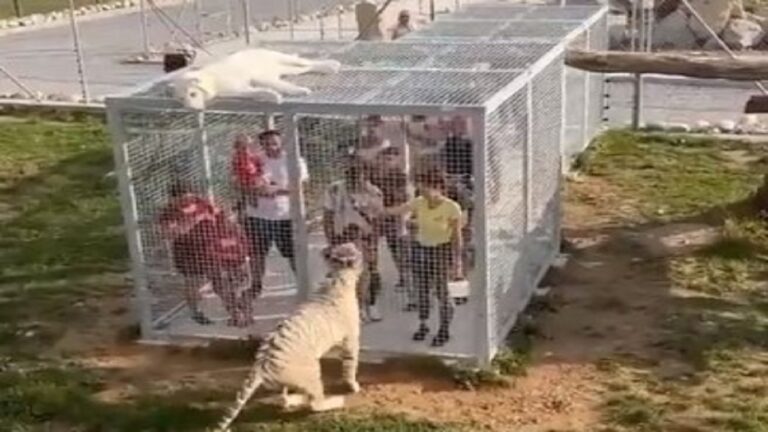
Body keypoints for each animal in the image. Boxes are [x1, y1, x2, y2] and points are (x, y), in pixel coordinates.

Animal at [172, 47, 344, 109]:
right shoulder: (240, 90)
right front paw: (273, 96)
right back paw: (328, 68)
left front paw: (298, 91)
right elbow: (257, 91)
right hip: (288, 70)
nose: (190, 109)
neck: (213, 81)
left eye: (193, 94)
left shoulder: (255, 77)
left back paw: (331, 65)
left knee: (308, 62)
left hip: (285, 59)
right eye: (181, 99)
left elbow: (277, 85)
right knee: (305, 69)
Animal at [208, 243, 364, 432]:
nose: (358, 247)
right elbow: (350, 366)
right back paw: (336, 401)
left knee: (285, 399)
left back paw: (297, 398)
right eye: (355, 250)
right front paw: (353, 386)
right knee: (315, 404)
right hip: (312, 371)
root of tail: (261, 366)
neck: (337, 276)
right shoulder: (351, 340)